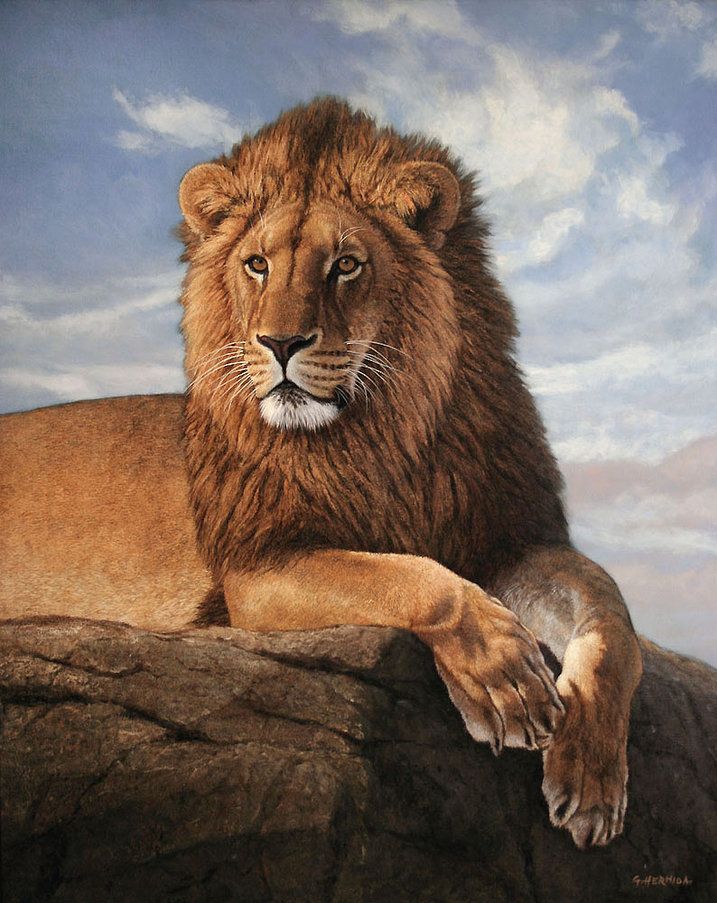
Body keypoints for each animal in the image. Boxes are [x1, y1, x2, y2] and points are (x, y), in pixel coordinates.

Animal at [0, 98, 642, 849]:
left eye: (345, 265)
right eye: (256, 264)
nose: (280, 343)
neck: (381, 434)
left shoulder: (507, 537)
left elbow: (610, 617)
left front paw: (591, 779)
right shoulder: (257, 569)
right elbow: (416, 580)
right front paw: (503, 677)